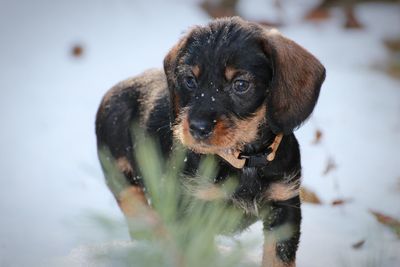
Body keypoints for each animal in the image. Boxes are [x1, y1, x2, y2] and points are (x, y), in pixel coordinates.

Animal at [96, 17, 324, 267]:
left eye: (241, 84)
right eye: (189, 80)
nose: (197, 127)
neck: (243, 159)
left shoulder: (284, 205)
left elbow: (278, 257)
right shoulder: (191, 210)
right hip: (121, 177)